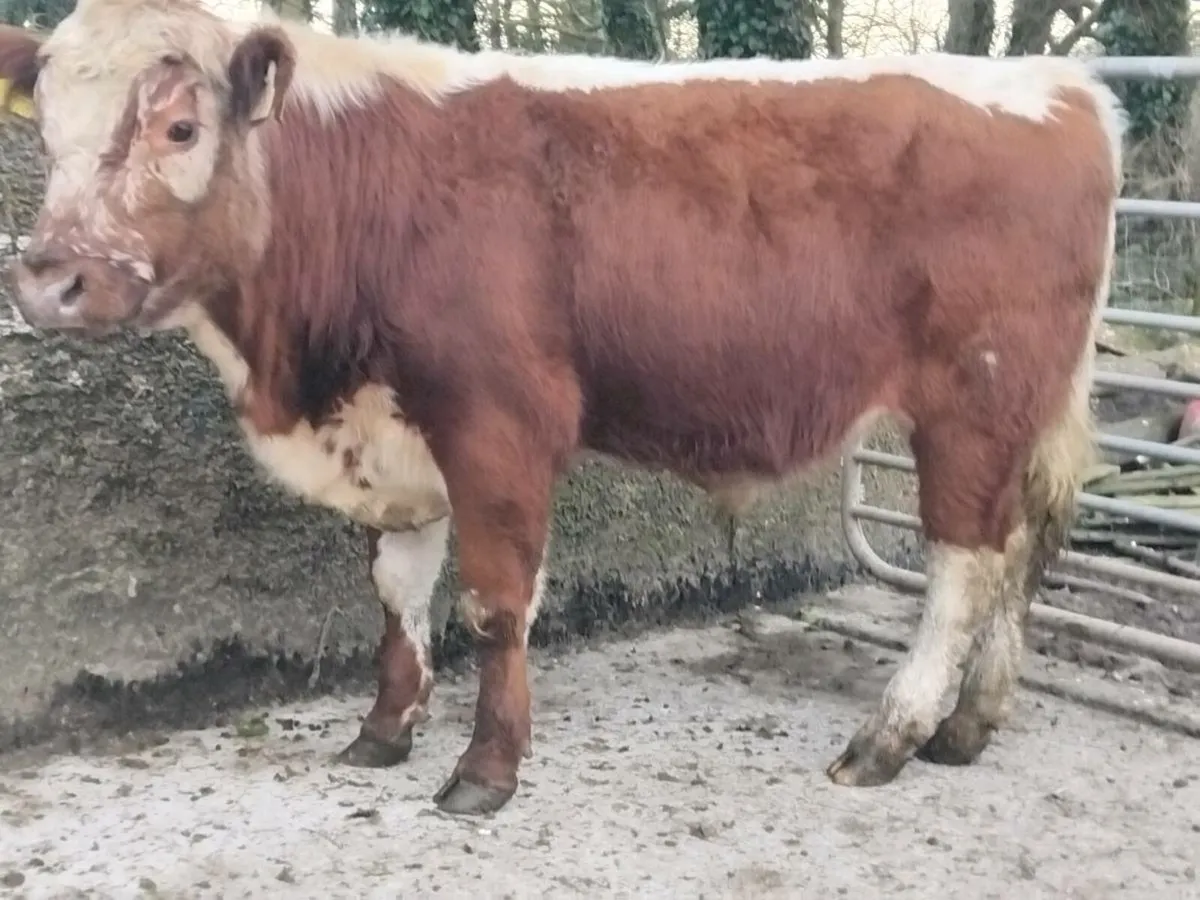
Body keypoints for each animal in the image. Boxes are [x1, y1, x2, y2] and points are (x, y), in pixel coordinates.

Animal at [0, 0, 1122, 817]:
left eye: (180, 127)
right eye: (45, 136)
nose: (49, 282)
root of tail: (1062, 89)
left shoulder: (499, 419)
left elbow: (495, 603)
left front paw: (484, 772)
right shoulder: (396, 435)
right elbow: (398, 592)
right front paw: (384, 731)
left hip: (972, 403)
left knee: (965, 567)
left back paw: (888, 739)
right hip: (1023, 411)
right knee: (1024, 548)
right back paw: (969, 727)